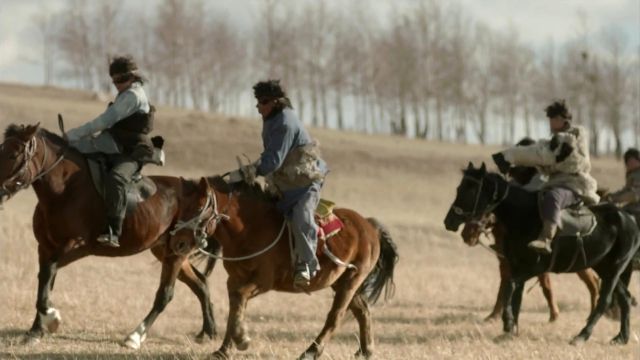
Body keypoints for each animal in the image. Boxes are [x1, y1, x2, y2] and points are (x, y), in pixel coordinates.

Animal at [0, 124, 219, 348]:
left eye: (13, 155)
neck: (66, 190)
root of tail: (203, 195)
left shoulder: (74, 247)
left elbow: (47, 276)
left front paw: (52, 320)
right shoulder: (45, 248)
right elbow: (45, 282)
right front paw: (36, 330)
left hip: (177, 253)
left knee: (165, 295)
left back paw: (135, 337)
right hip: (167, 250)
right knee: (201, 283)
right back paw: (208, 332)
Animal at [169, 178, 400, 360]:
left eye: (199, 207)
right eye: (183, 206)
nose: (177, 243)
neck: (250, 228)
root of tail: (369, 226)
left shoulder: (262, 281)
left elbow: (240, 299)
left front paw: (242, 340)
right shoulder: (234, 280)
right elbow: (235, 307)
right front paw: (224, 350)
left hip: (352, 279)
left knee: (335, 316)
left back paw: (311, 352)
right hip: (340, 282)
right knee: (362, 310)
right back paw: (365, 350)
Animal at [460, 214, 600, 320]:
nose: (465, 235)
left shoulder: (539, 267)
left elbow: (546, 287)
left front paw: (554, 316)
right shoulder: (506, 266)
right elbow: (503, 288)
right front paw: (493, 316)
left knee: (593, 283)